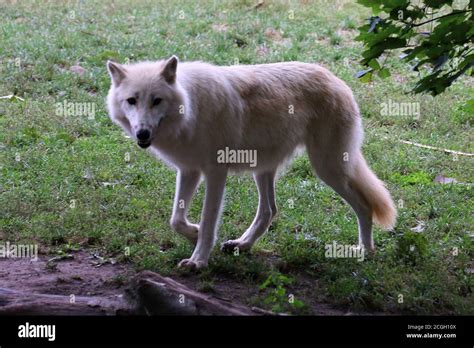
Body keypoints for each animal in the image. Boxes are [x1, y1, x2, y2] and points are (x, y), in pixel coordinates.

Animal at [106, 55, 396, 270]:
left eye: (157, 100)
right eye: (131, 101)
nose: (142, 134)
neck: (189, 109)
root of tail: (338, 80)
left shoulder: (215, 173)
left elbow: (209, 220)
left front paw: (198, 261)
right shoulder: (189, 171)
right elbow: (175, 220)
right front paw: (194, 233)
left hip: (328, 169)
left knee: (364, 206)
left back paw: (365, 251)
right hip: (264, 170)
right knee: (270, 211)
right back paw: (241, 245)